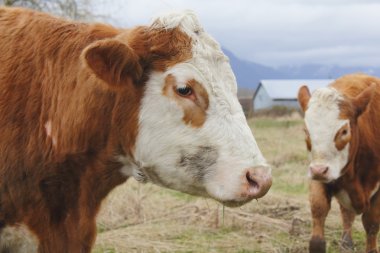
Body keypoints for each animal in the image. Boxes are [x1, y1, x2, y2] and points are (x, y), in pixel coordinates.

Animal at [298, 73, 378, 253]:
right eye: (306, 131)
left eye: (344, 131)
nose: (319, 170)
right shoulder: (318, 177)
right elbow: (319, 210)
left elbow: (371, 224)